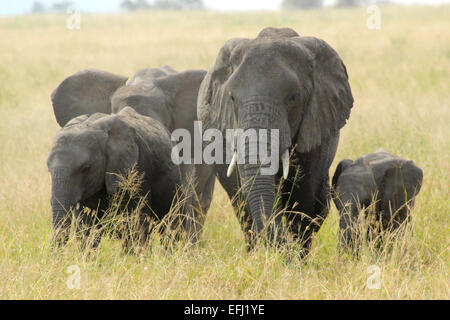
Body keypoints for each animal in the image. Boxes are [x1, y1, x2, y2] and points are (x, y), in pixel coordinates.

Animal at [47, 106, 185, 249]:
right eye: (48, 168)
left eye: (86, 168)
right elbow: (87, 228)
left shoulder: (138, 168)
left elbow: (134, 224)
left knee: (171, 226)